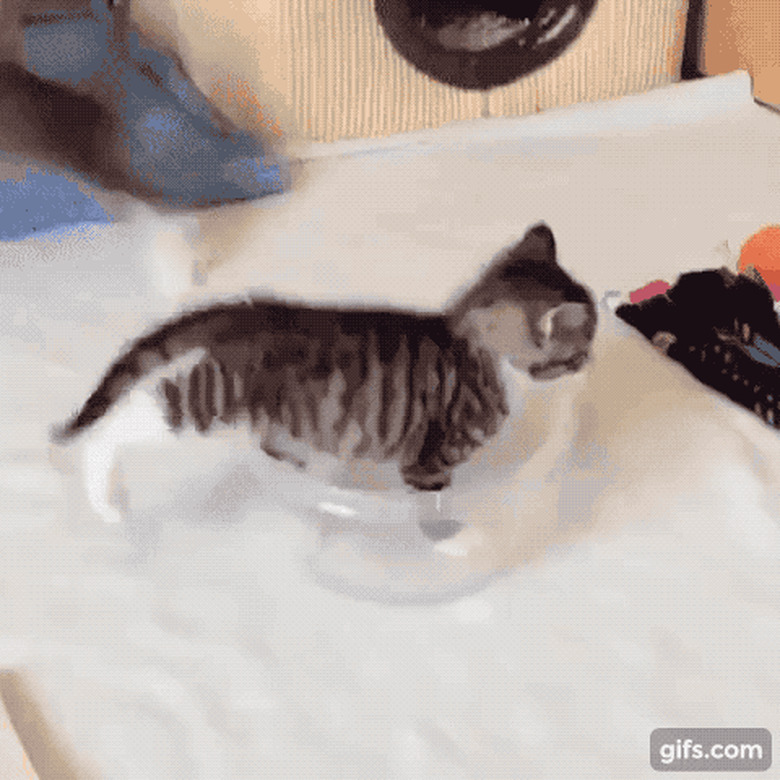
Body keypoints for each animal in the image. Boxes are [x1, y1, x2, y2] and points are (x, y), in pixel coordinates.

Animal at [51, 224, 596, 532]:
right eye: (582, 347)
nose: (590, 361)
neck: (475, 340)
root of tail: (257, 310)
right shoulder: (430, 458)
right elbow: (433, 504)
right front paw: (448, 535)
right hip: (209, 395)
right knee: (126, 423)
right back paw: (105, 497)